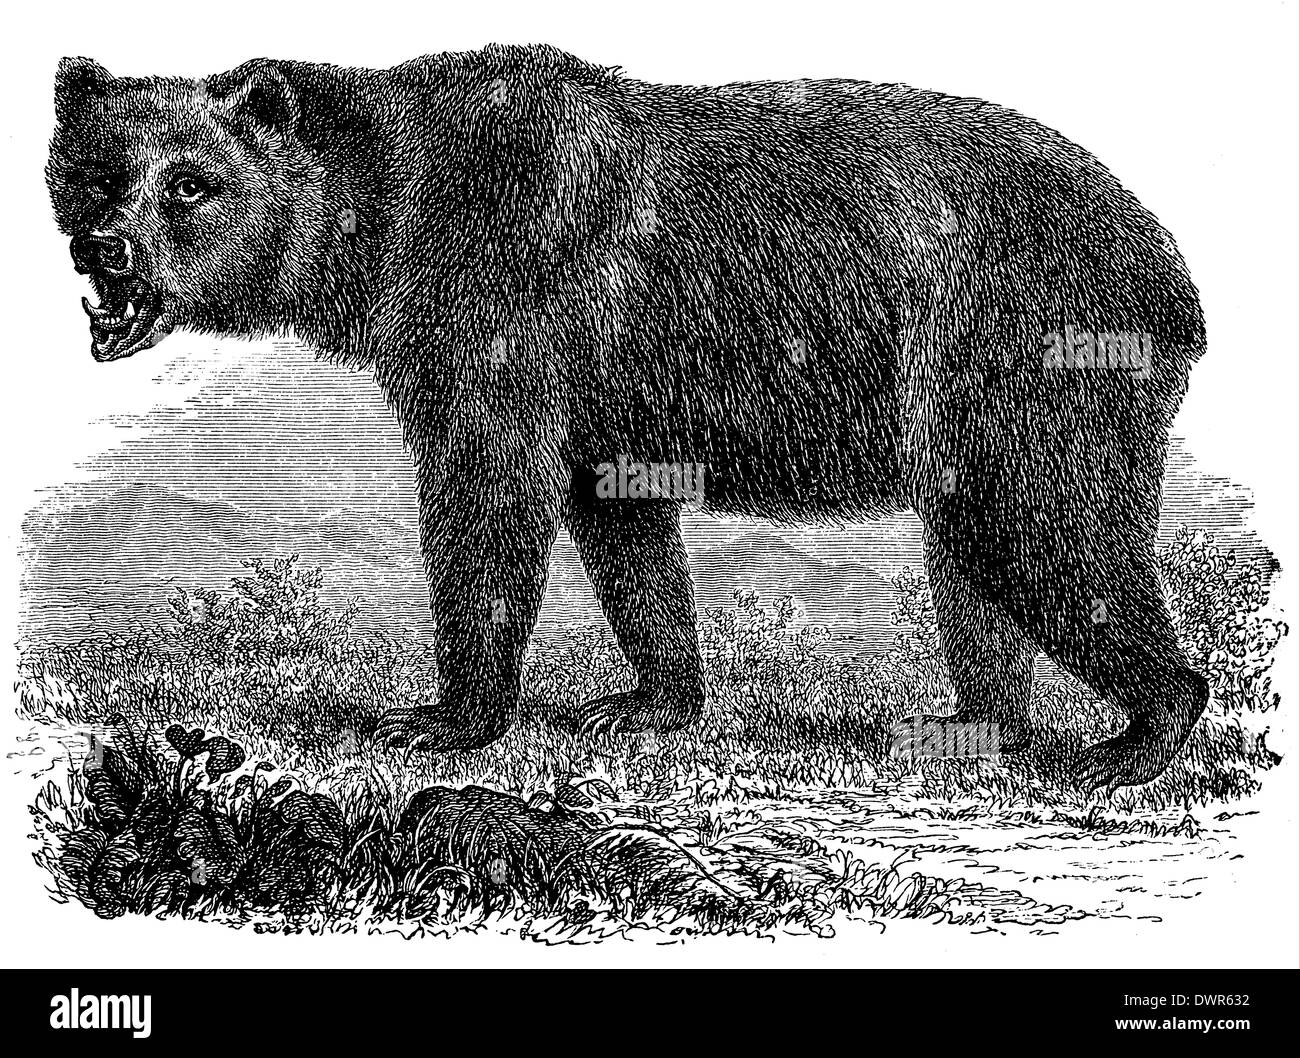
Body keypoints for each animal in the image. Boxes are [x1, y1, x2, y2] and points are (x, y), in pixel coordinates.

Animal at [46, 44, 1210, 791]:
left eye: (191, 183)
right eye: (99, 174)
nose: (109, 250)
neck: (384, 221)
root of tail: (1169, 271)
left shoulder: (501, 292)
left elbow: (487, 495)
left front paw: (437, 717)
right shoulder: (602, 387)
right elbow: (622, 524)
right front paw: (645, 698)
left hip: (1021, 341)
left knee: (1048, 530)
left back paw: (1136, 739)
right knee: (974, 549)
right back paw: (964, 720)